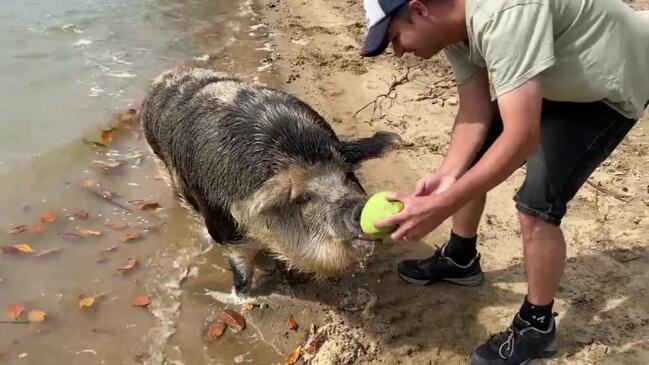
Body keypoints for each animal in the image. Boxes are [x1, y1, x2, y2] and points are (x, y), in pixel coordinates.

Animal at [140, 66, 400, 292]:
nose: (360, 207)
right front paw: (242, 294)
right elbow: (240, 267)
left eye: (347, 174)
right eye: (303, 197)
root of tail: (161, 78)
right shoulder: (224, 227)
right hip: (161, 161)